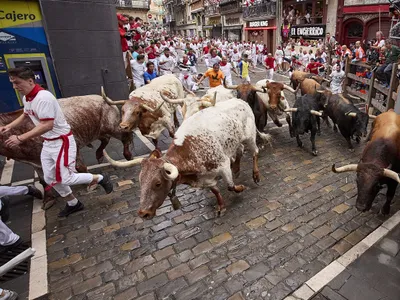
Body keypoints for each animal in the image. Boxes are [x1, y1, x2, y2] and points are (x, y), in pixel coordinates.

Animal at [103, 98, 272, 218]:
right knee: (239, 152)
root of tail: (240, 101)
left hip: (249, 137)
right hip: (234, 142)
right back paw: (236, 168)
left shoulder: (223, 165)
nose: (143, 213)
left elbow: (231, 186)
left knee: (254, 153)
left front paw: (240, 188)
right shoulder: (205, 178)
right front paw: (221, 207)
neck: (190, 151)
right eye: (141, 181)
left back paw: (255, 175)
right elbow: (215, 191)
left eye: (157, 184)